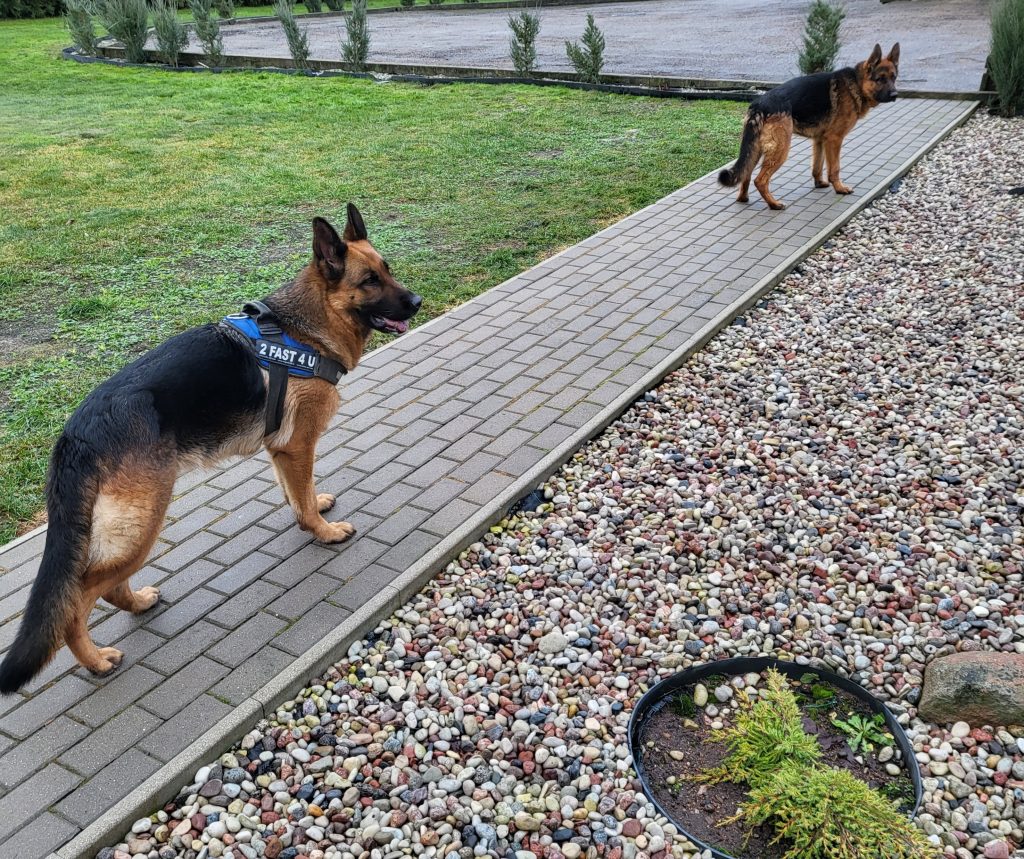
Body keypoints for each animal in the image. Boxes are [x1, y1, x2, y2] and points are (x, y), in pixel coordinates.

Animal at [0, 205, 421, 692]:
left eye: (387, 270)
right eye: (369, 280)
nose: (416, 302)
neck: (304, 330)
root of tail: (77, 432)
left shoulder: (281, 450)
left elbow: (297, 493)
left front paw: (311, 509)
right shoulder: (299, 446)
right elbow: (303, 493)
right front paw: (323, 531)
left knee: (105, 586)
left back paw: (138, 604)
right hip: (143, 523)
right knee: (78, 598)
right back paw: (96, 660)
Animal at [719, 43, 900, 210]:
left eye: (893, 78)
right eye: (880, 79)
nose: (895, 95)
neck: (856, 83)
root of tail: (758, 105)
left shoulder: (820, 140)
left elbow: (817, 166)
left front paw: (819, 183)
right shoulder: (834, 140)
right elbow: (835, 168)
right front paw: (839, 188)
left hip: (755, 149)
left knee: (746, 174)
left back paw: (743, 198)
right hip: (781, 149)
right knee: (760, 180)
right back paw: (774, 204)